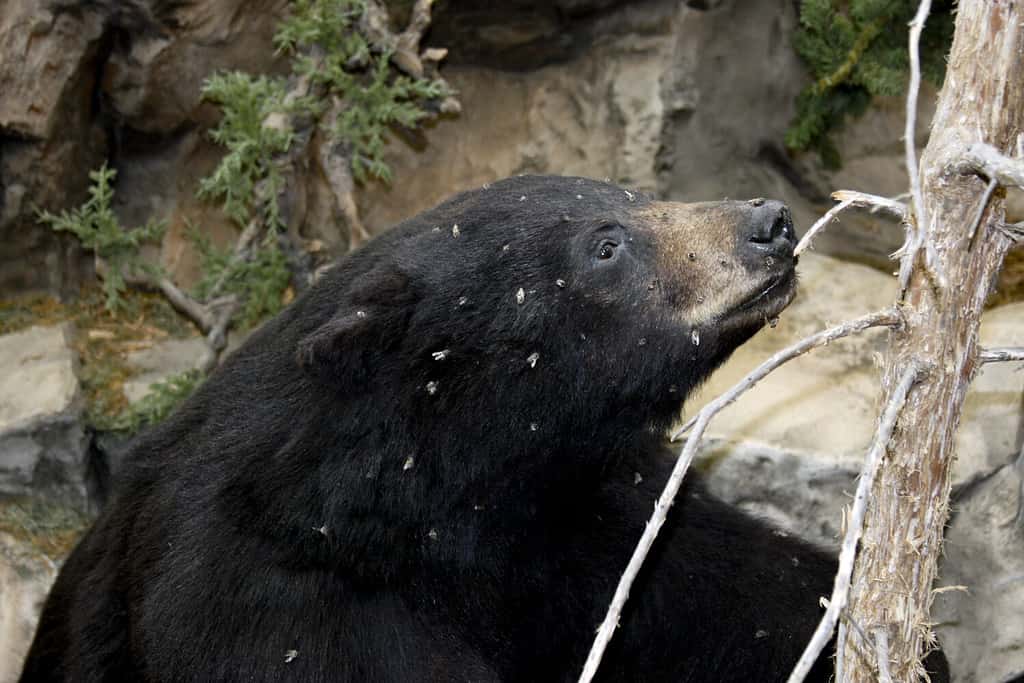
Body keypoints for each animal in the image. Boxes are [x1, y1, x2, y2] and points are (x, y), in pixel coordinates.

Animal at [21, 175, 948, 682]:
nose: (769, 223)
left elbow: (734, 591)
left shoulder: (578, 520)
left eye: (635, 194)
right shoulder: (272, 614)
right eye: (606, 245)